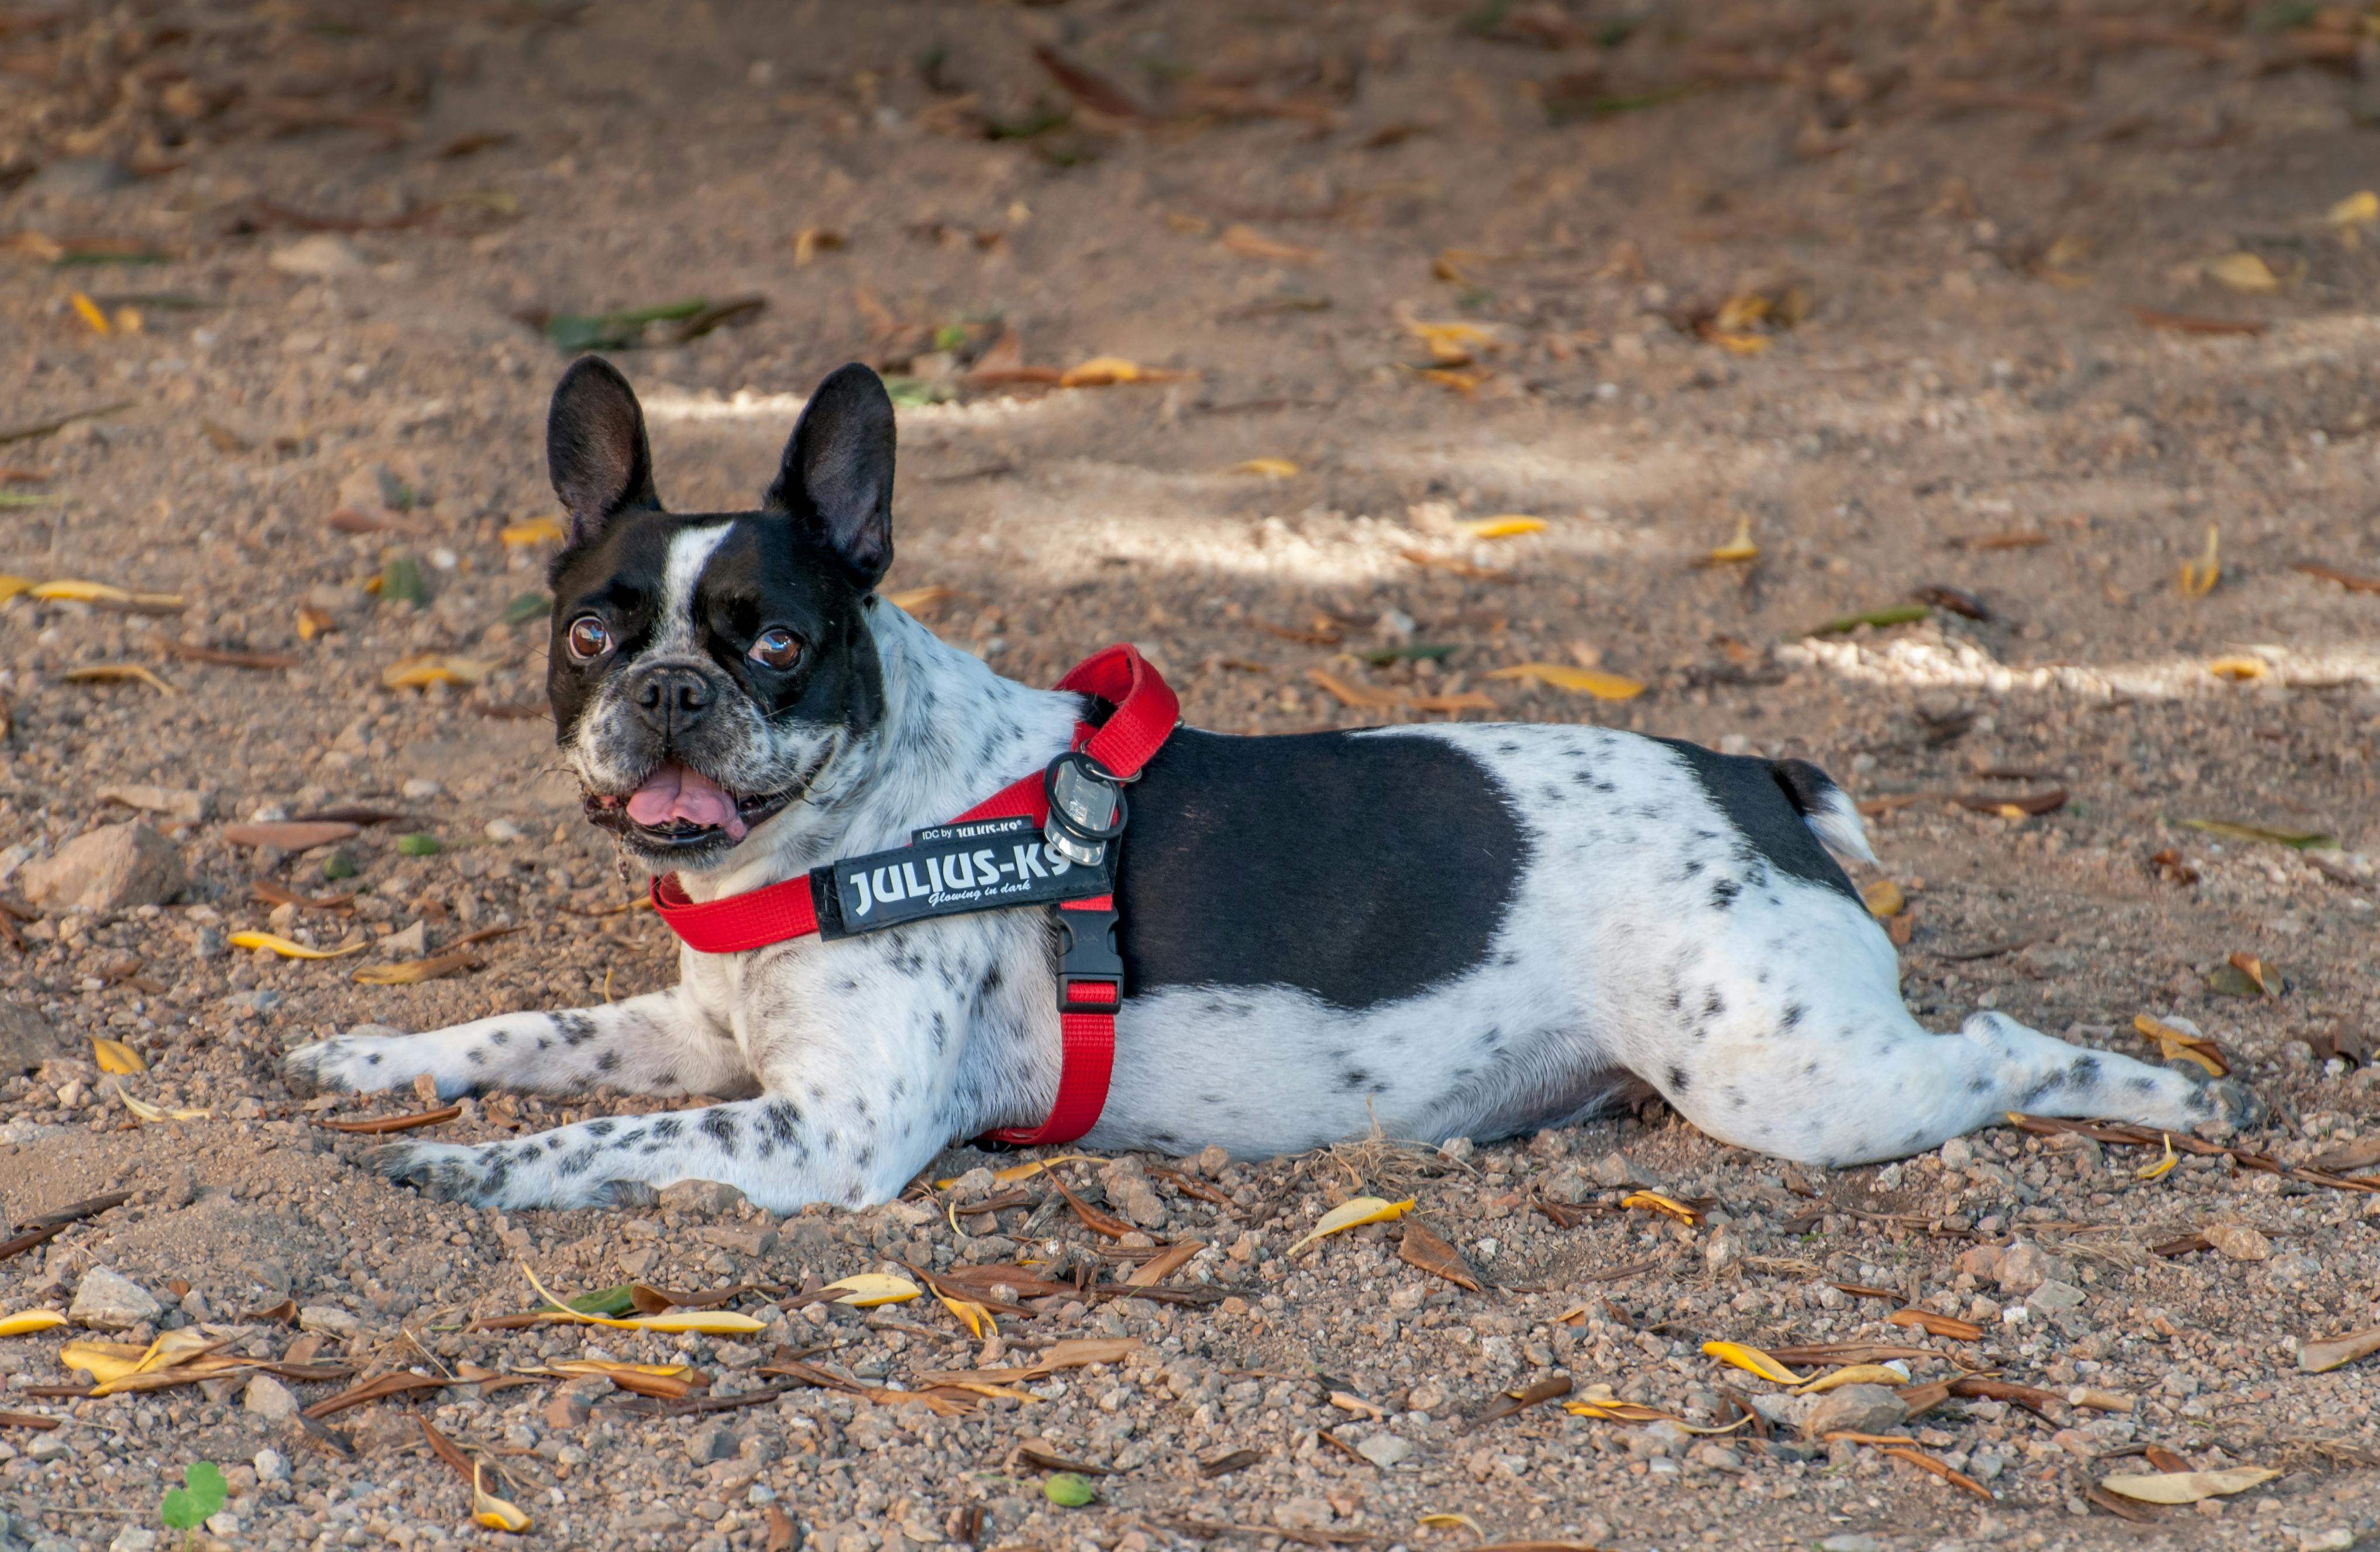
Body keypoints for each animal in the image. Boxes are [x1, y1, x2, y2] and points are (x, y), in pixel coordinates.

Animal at [288, 357, 2256, 1204]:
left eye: (775, 643)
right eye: (593, 630)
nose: (674, 691)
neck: (858, 819)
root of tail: (1751, 781)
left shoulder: (821, 1127)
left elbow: (606, 1134)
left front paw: (481, 1169)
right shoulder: (700, 1032)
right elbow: (531, 1031)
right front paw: (373, 1059)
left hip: (1794, 1076)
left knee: (1998, 1048)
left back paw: (2163, 1093)